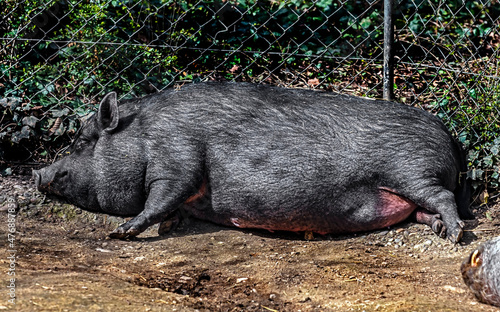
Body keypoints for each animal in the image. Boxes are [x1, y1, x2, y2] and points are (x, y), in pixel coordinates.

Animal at [32, 81, 472, 240]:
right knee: (422, 209)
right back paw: (437, 228)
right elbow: (169, 207)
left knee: (443, 197)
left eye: (83, 141)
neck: (145, 137)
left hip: (412, 171)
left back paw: (453, 235)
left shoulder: (178, 159)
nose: (39, 172)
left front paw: (119, 233)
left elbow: (161, 198)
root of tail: (450, 136)